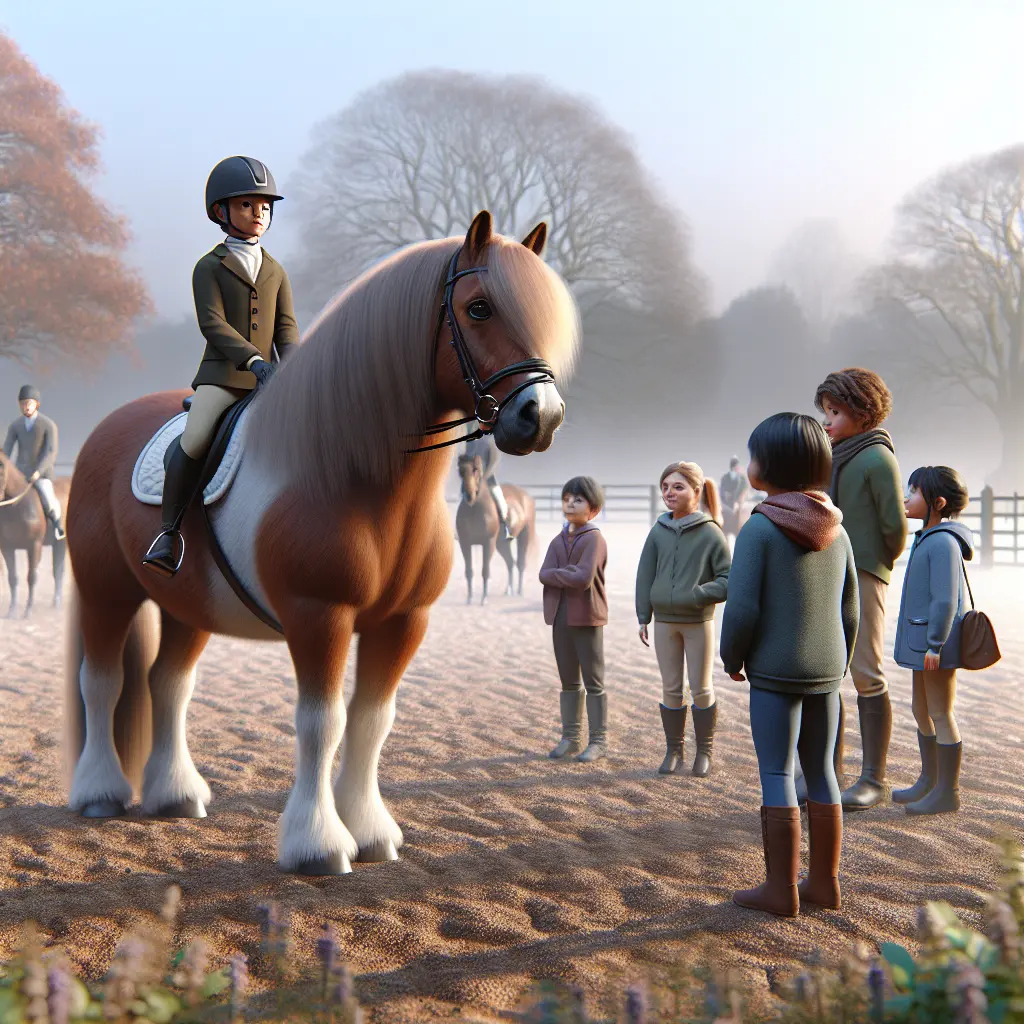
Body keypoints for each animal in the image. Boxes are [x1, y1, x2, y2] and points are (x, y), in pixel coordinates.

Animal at [0, 452, 69, 617]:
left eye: (2, 469)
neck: (15, 506)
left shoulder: (34, 545)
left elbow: (31, 577)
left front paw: (28, 611)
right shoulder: (6, 547)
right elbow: (13, 578)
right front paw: (11, 611)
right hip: (60, 543)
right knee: (58, 570)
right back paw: (56, 604)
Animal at [455, 454, 535, 604]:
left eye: (475, 470)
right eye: (460, 471)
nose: (469, 495)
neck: (474, 510)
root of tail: (525, 495)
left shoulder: (488, 542)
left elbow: (485, 571)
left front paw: (483, 599)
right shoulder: (465, 543)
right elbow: (469, 571)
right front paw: (469, 599)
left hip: (524, 535)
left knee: (520, 563)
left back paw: (519, 592)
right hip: (502, 544)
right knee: (510, 562)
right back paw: (508, 591)